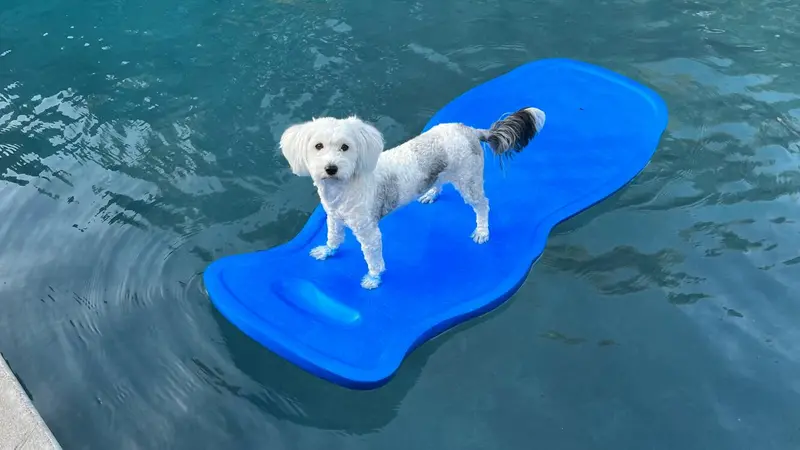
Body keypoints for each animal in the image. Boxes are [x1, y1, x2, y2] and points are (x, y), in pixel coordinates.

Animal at [278, 107, 548, 290]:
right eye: (318, 146)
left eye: (345, 147)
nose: (331, 168)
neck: (345, 187)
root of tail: (470, 130)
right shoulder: (334, 217)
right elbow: (334, 238)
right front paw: (327, 251)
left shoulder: (369, 232)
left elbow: (373, 258)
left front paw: (373, 278)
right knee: (439, 182)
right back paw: (430, 193)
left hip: (469, 180)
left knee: (482, 205)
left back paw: (482, 230)